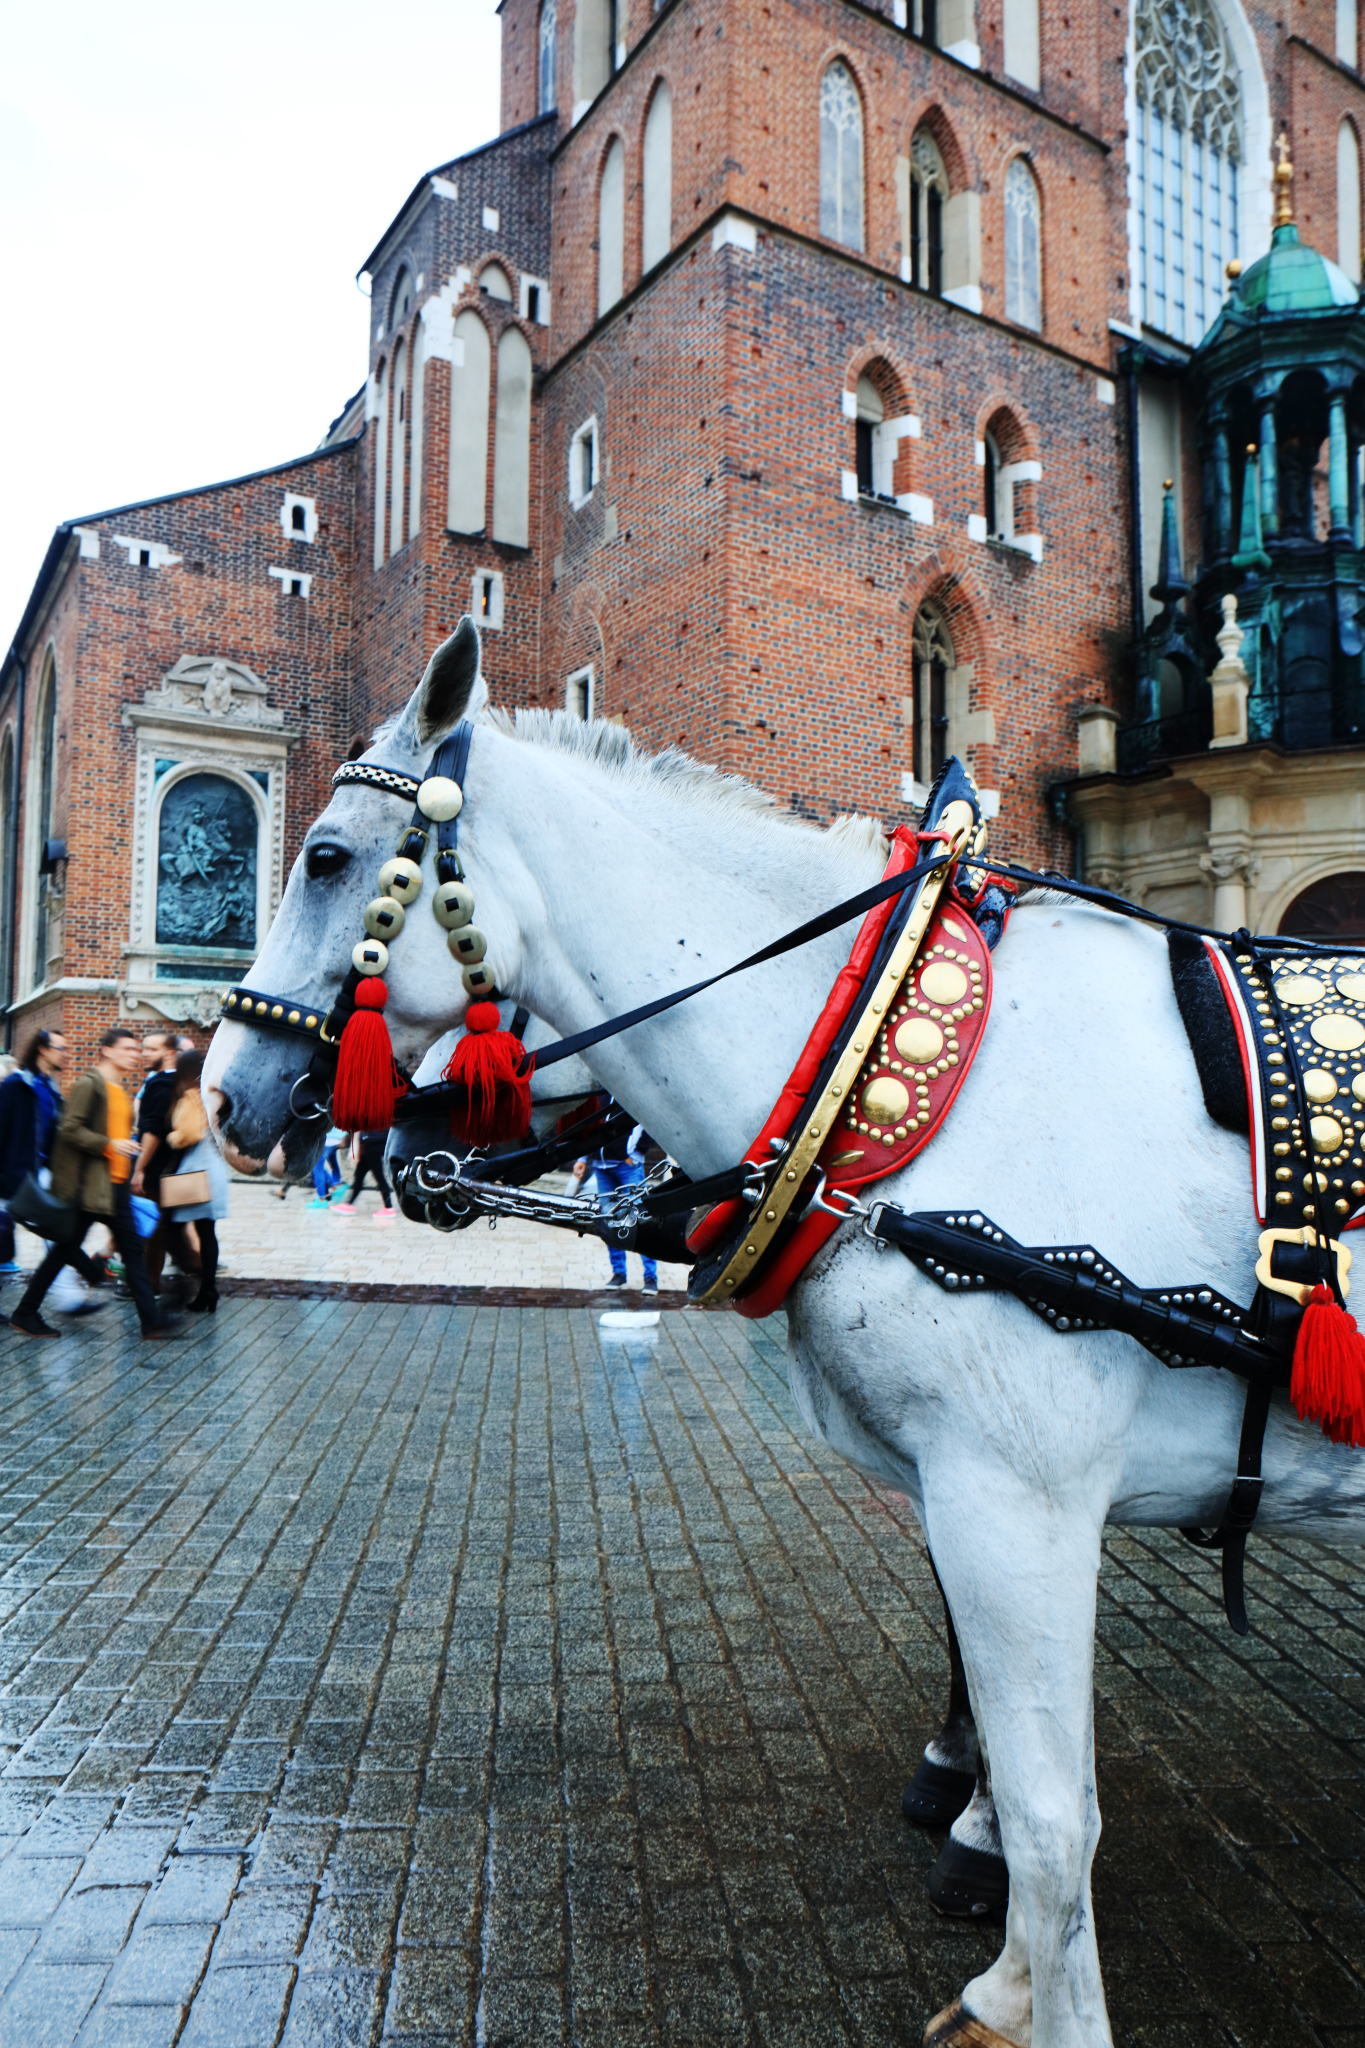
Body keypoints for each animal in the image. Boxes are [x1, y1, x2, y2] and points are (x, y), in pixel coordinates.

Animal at [202, 626, 1365, 2048]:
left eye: (325, 857)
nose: (226, 1095)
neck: (899, 1072)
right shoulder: (974, 1493)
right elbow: (1016, 1750)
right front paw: (1000, 1948)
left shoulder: (1017, 1496)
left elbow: (1054, 1820)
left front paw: (1008, 1921)